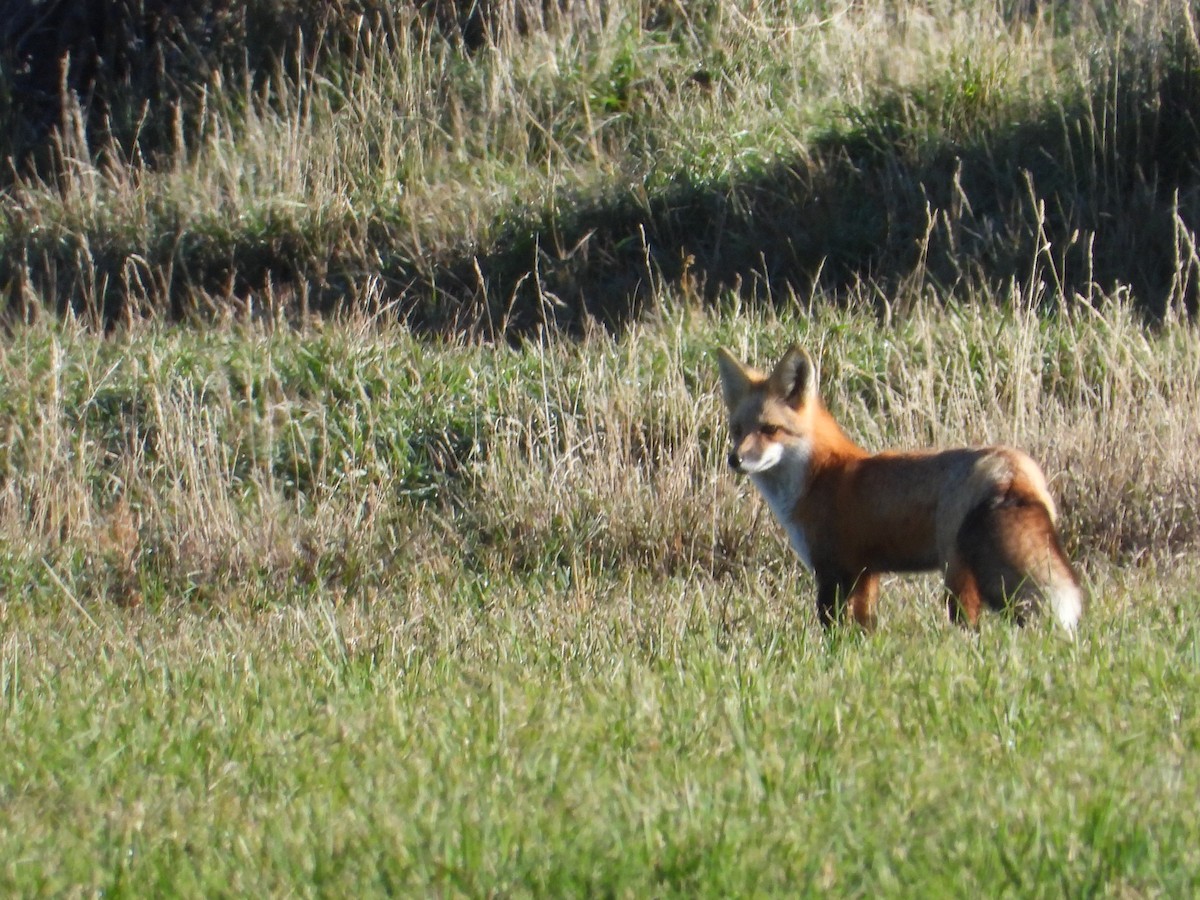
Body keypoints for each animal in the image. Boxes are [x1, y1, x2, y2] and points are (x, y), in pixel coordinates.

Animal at [717, 345, 1083, 632]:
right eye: (737, 430)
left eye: (770, 429)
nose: (735, 459)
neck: (819, 476)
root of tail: (1009, 468)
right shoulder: (865, 573)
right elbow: (863, 628)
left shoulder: (833, 570)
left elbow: (831, 628)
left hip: (955, 571)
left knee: (968, 624)